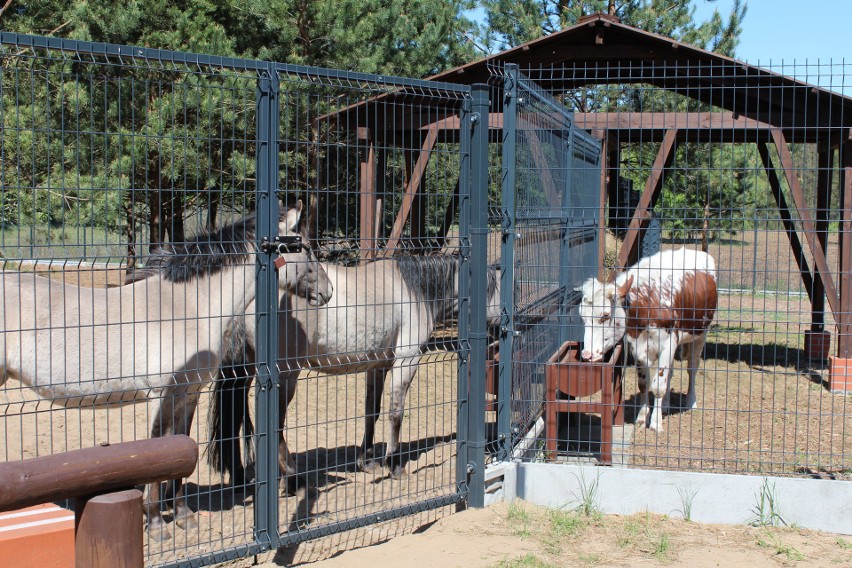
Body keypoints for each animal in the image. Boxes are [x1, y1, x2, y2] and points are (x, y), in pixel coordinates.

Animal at [0, 202, 332, 540]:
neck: (186, 307)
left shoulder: (188, 395)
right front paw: (157, 522)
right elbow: (158, 447)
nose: (328, 291)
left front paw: (184, 515)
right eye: (303, 247)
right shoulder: (159, 395)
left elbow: (182, 448)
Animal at [207, 254, 500, 488]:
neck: (414, 292)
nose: (501, 328)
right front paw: (394, 466)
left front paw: (367, 461)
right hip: (286, 375)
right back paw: (291, 479)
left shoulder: (378, 366)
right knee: (275, 423)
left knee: (235, 416)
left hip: (244, 372)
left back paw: (241, 476)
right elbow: (396, 414)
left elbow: (373, 412)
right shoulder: (406, 361)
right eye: (499, 289)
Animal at [580, 247, 720, 430]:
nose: (586, 354)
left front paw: (655, 423)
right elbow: (644, 384)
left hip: (701, 333)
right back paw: (666, 405)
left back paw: (691, 402)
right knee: (671, 372)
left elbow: (658, 385)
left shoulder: (668, 344)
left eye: (605, 315)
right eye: (582, 317)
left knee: (692, 368)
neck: (647, 301)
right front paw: (642, 416)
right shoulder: (637, 347)